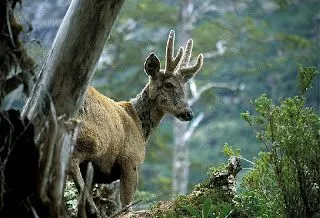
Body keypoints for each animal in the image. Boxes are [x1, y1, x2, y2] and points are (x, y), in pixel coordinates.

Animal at [70, 29, 202, 214]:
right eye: (168, 84)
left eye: (184, 87)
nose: (188, 113)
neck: (139, 124)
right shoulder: (131, 162)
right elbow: (127, 205)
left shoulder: (95, 173)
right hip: (91, 137)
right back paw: (93, 208)